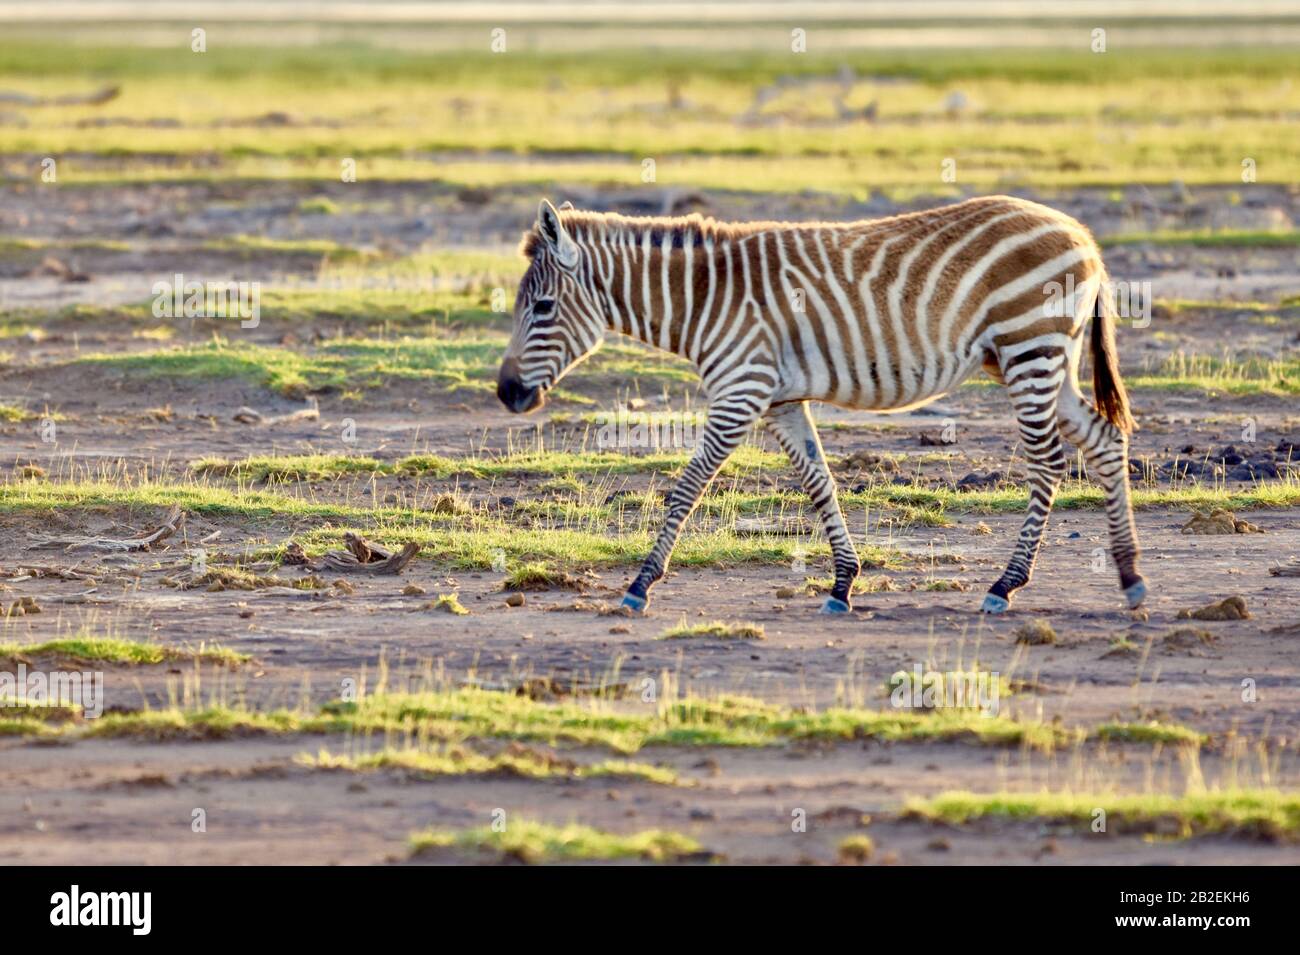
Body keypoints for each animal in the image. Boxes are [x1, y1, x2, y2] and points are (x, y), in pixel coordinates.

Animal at [496, 196, 1145, 616]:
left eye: (543, 307)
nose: (506, 393)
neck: (704, 299)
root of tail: (1079, 232)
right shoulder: (780, 399)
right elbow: (818, 481)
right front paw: (842, 584)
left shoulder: (741, 390)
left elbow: (686, 487)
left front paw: (639, 584)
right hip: (1042, 359)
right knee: (1104, 440)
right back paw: (1129, 575)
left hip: (1029, 348)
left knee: (1048, 463)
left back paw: (1007, 585)